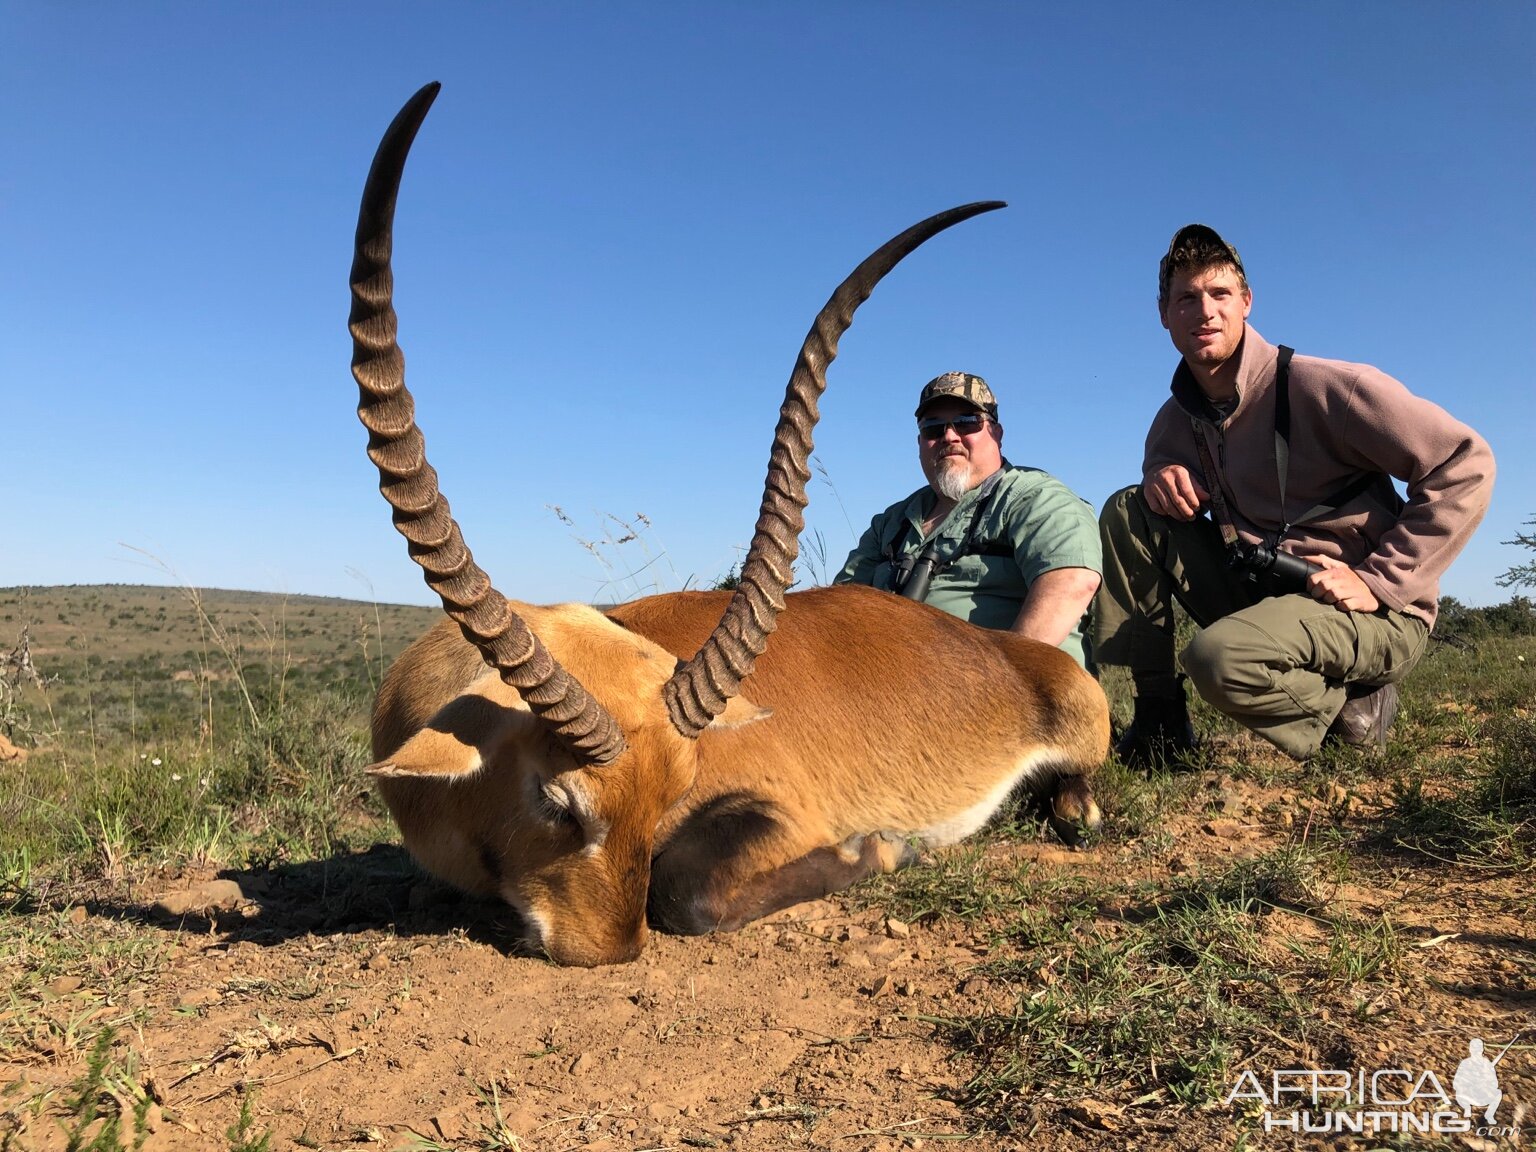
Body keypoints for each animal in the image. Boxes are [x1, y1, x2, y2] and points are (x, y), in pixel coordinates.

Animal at [353, 83, 1112, 964]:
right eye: (557, 800)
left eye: (673, 790)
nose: (608, 949)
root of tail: (1011, 655)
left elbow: (686, 891)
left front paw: (884, 848)